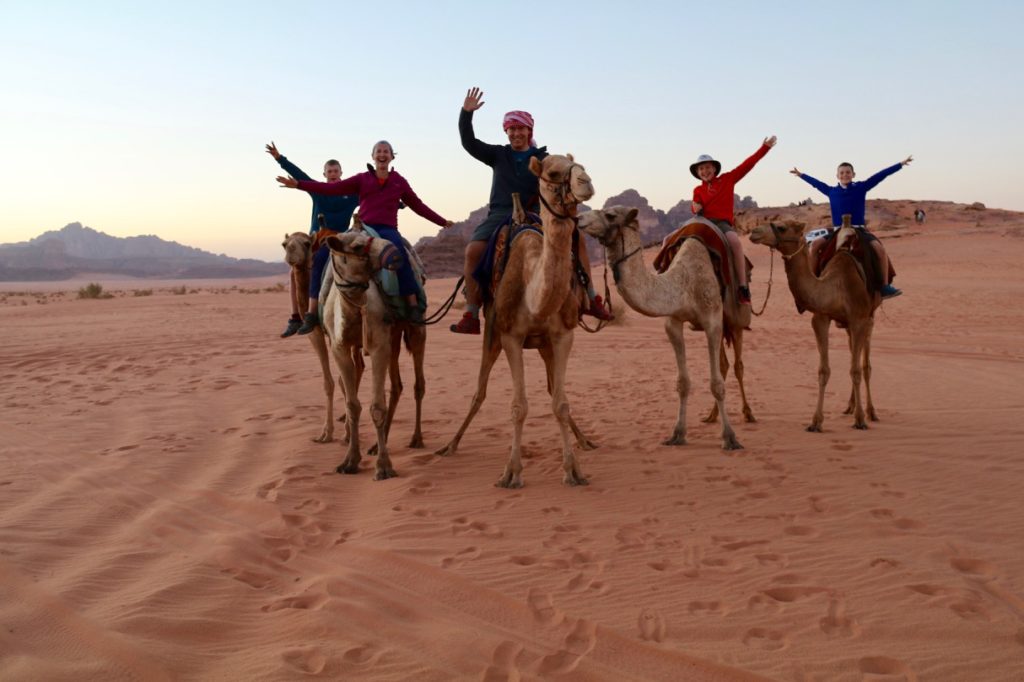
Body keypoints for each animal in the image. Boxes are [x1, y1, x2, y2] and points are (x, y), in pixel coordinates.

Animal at [319, 228, 423, 477]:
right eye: (357, 246)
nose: (394, 253)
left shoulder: (378, 347)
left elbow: (376, 407)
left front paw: (384, 466)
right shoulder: (339, 348)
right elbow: (352, 405)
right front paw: (350, 461)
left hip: (415, 331)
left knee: (418, 384)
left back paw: (416, 438)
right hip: (393, 339)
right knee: (396, 386)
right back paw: (376, 445)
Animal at [434, 153, 598, 485]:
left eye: (581, 166)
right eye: (554, 172)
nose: (586, 182)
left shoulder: (562, 336)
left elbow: (561, 403)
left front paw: (573, 470)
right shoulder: (510, 336)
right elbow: (518, 406)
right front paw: (511, 472)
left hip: (544, 346)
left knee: (552, 390)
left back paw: (584, 440)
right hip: (491, 331)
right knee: (479, 391)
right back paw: (451, 444)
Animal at [577, 206, 745, 450]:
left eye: (610, 215)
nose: (578, 218)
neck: (684, 283)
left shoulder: (712, 320)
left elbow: (716, 384)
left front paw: (730, 438)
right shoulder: (673, 321)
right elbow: (682, 382)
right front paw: (677, 434)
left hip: (735, 317)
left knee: (738, 363)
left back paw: (749, 414)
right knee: (724, 363)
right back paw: (711, 416)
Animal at [749, 218, 884, 430]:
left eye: (782, 227)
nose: (754, 232)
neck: (836, 288)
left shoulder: (858, 319)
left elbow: (856, 370)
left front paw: (860, 419)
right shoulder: (820, 318)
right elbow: (823, 370)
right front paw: (815, 422)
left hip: (869, 318)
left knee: (864, 365)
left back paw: (871, 412)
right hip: (849, 327)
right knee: (854, 354)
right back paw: (850, 406)